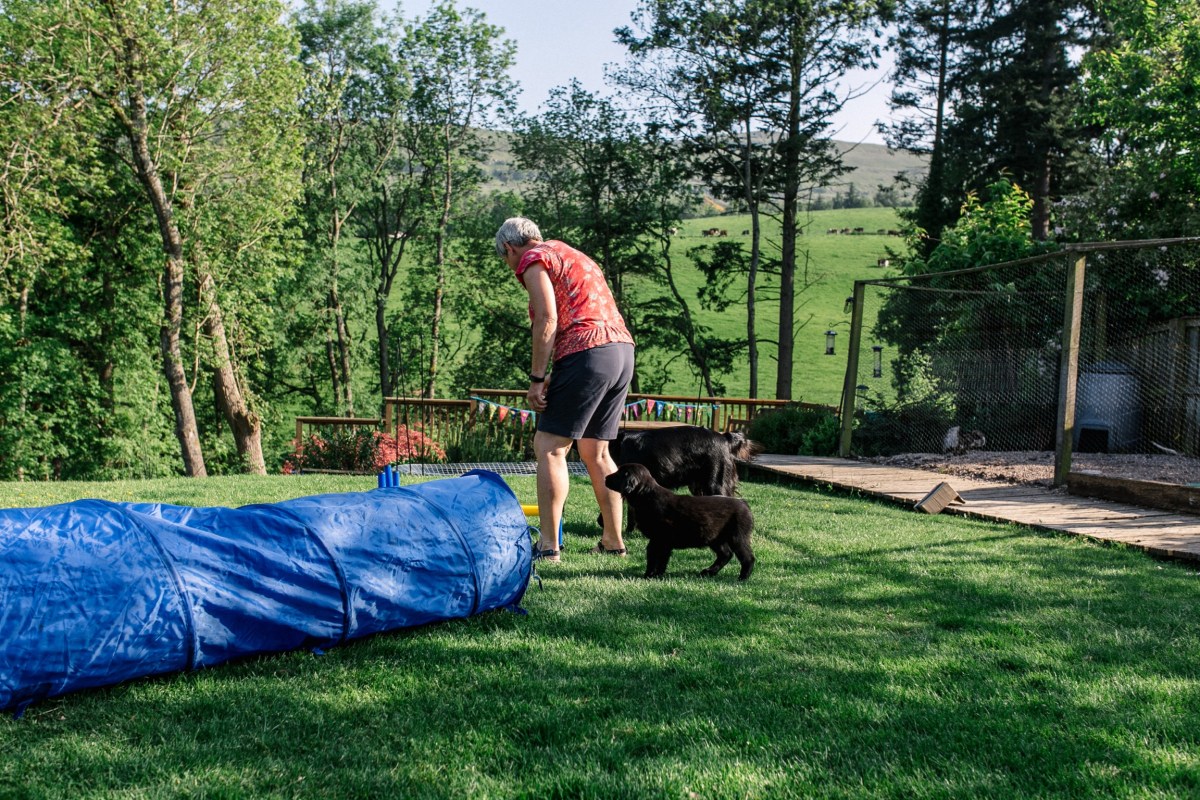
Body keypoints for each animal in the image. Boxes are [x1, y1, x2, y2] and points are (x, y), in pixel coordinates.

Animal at [605, 463, 755, 580]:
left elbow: (653, 557)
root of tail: (744, 503)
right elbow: (662, 559)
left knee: (747, 558)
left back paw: (742, 577)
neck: (646, 495)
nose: (605, 478)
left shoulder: (659, 538)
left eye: (619, 474)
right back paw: (709, 572)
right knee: (726, 554)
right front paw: (658, 575)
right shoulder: (663, 541)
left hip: (737, 537)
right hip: (714, 537)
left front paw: (648, 575)